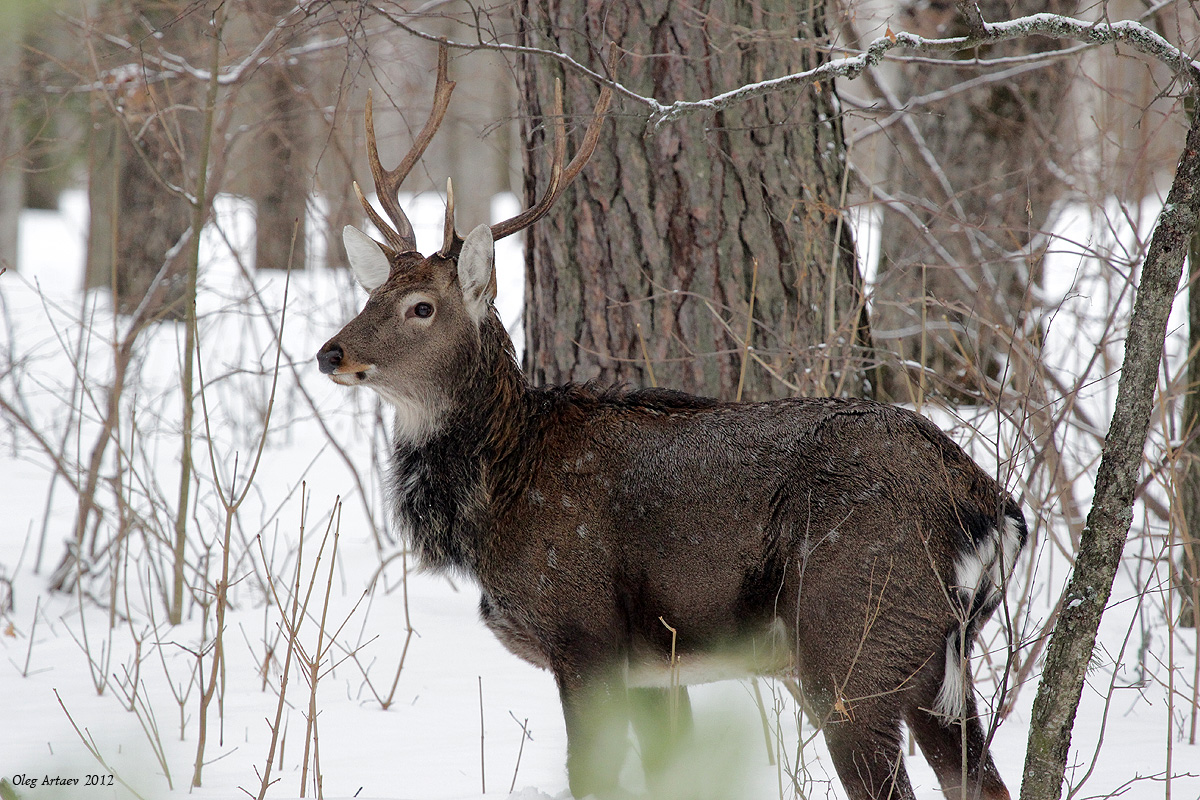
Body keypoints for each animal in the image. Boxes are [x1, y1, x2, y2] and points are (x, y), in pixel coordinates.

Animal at [321, 48, 1032, 800]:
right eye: (373, 294)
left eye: (421, 307)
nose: (330, 352)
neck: (501, 489)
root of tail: (994, 511)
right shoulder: (653, 666)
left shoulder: (583, 630)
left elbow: (592, 775)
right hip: (931, 663)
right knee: (983, 781)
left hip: (852, 641)